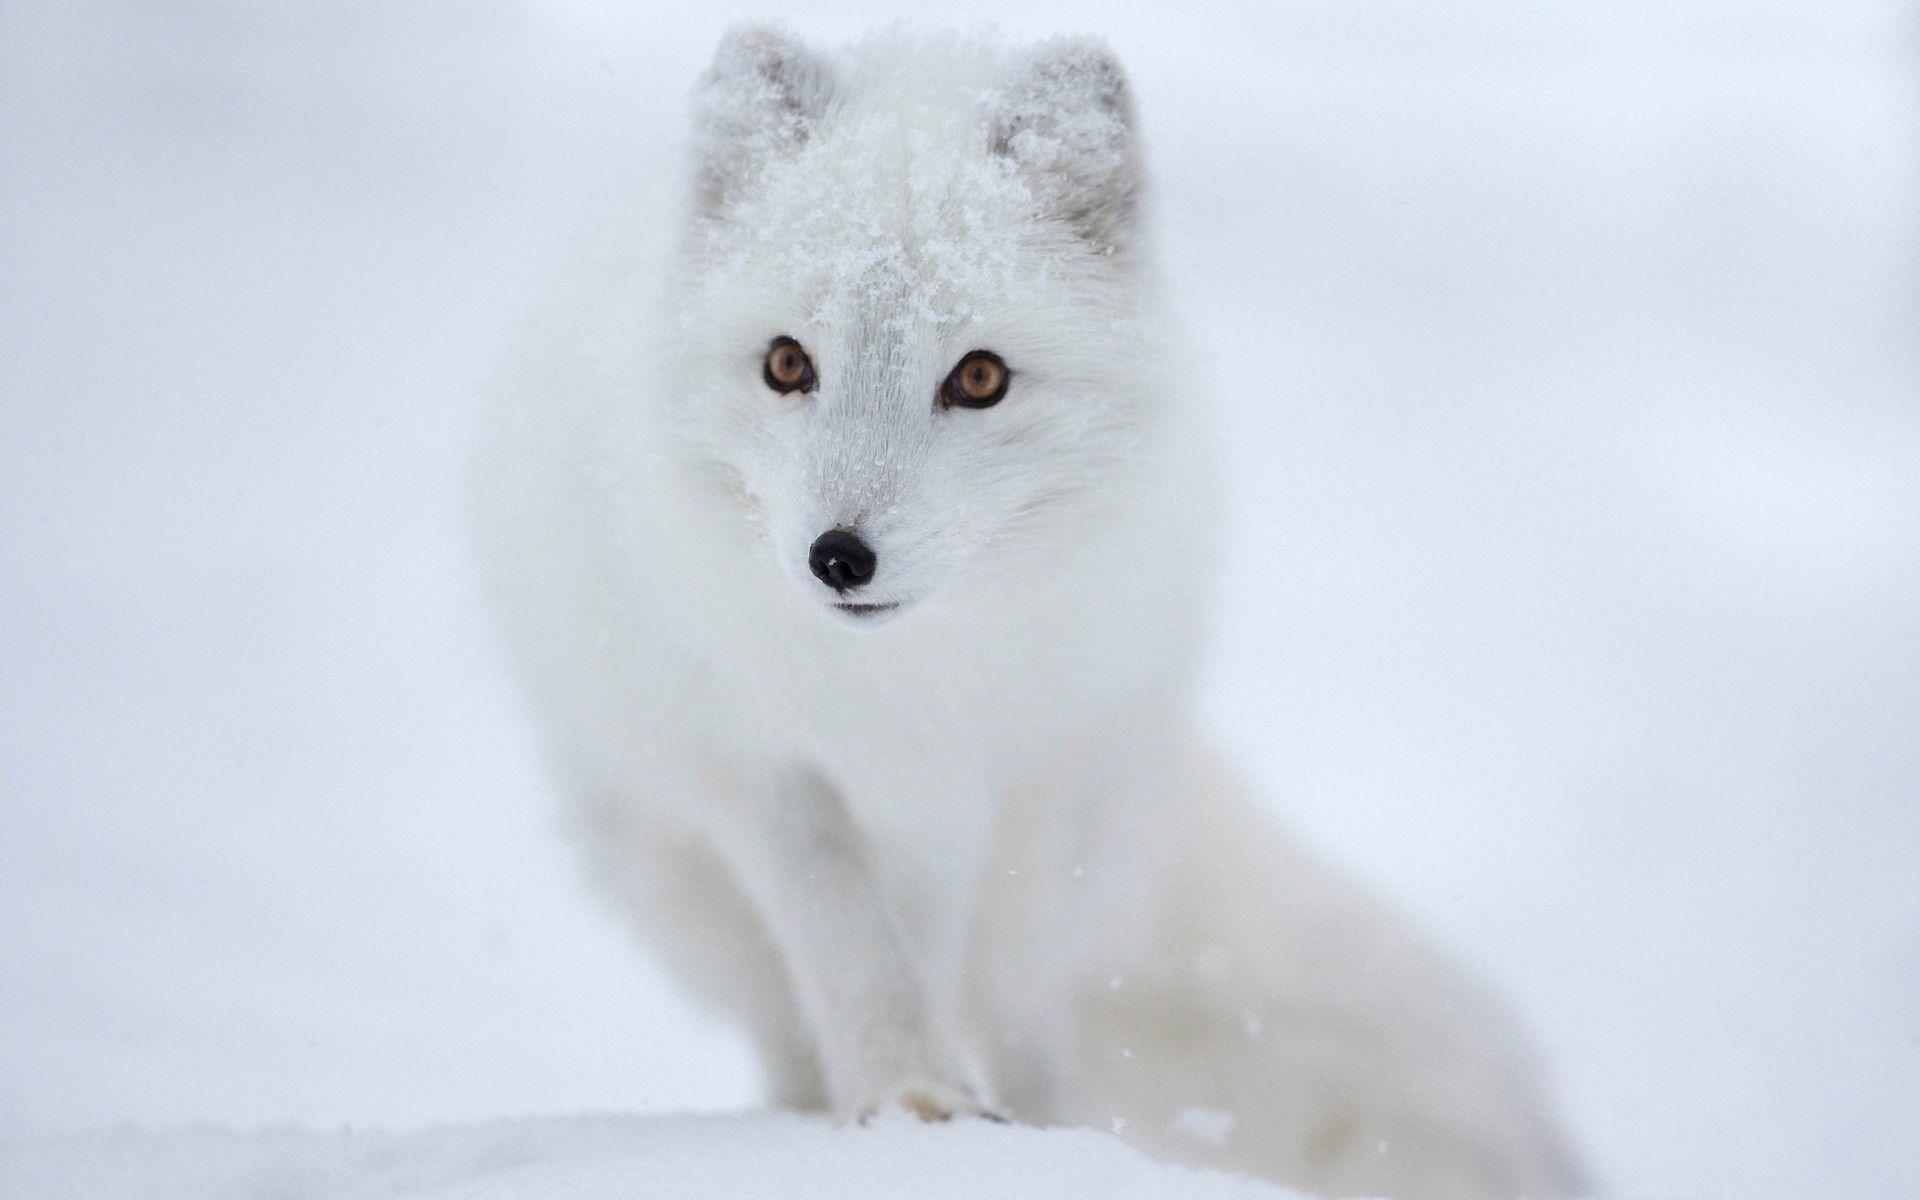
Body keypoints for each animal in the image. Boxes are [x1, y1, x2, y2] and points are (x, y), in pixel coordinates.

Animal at [474, 25, 1585, 1200]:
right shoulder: (757, 771)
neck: (905, 687)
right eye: (786, 363)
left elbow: (974, 981)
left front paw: (1000, 1130)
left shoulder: (1014, 786)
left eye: (978, 377)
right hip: (666, 868)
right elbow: (854, 949)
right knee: (789, 1020)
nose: (838, 558)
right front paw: (906, 1099)